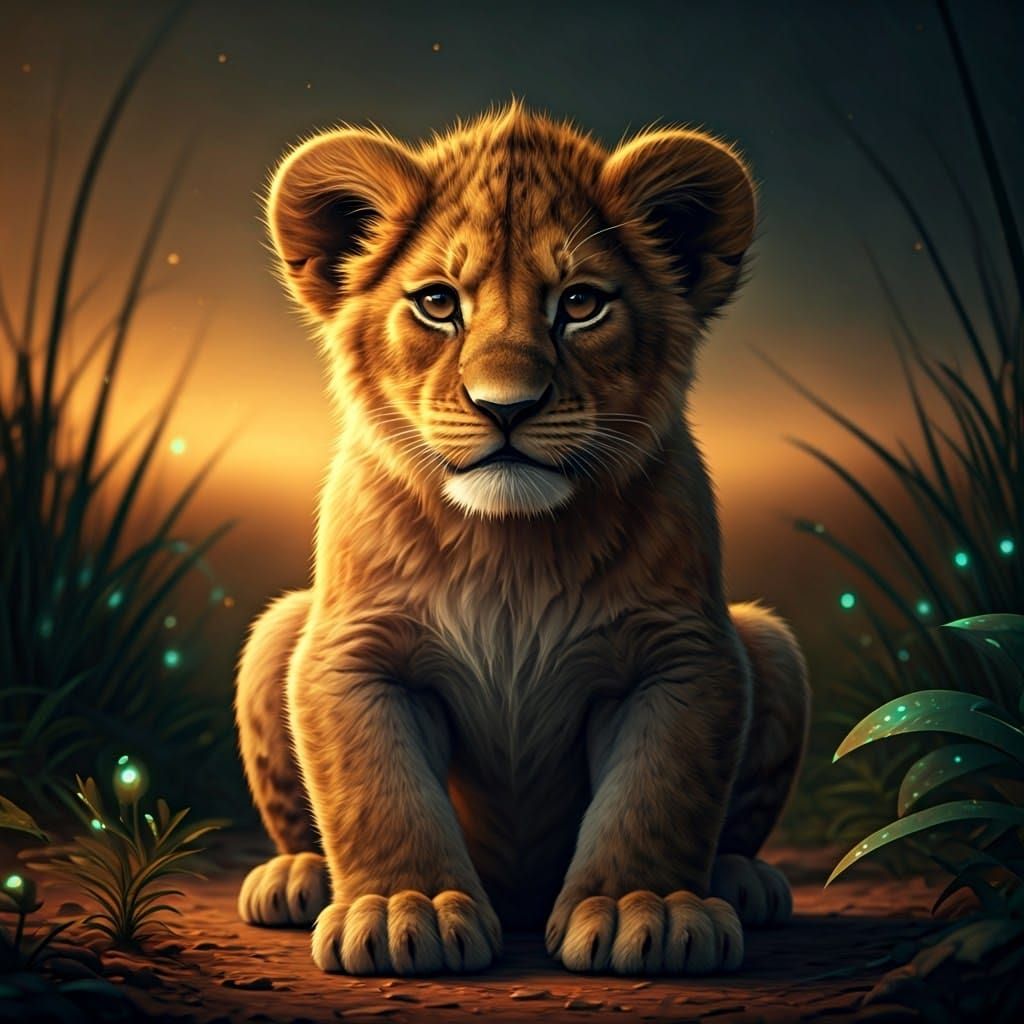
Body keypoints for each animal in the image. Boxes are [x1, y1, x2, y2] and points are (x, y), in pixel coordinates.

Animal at [235, 102, 809, 978]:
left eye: (580, 303)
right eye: (438, 303)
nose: (506, 406)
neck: (509, 550)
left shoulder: (683, 656)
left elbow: (658, 795)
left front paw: (644, 909)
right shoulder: (353, 654)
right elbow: (379, 795)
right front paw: (405, 910)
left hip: (771, 643)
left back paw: (742, 881)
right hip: (277, 630)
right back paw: (296, 877)